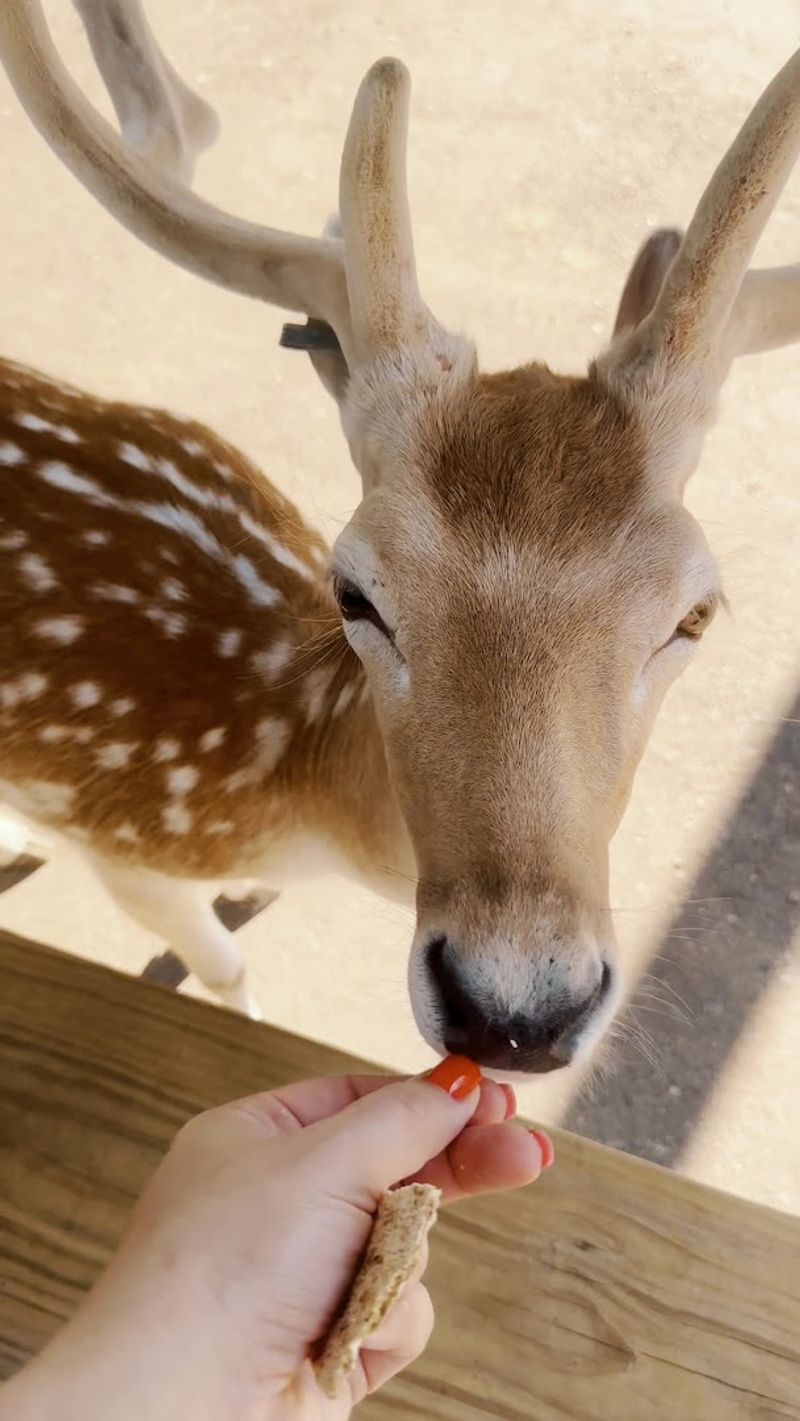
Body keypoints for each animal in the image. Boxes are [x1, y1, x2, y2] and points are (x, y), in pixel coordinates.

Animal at [0, 0, 798, 1075]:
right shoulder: (126, 846)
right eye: (356, 592)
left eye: (696, 614)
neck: (297, 794)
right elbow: (226, 970)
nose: (514, 1012)